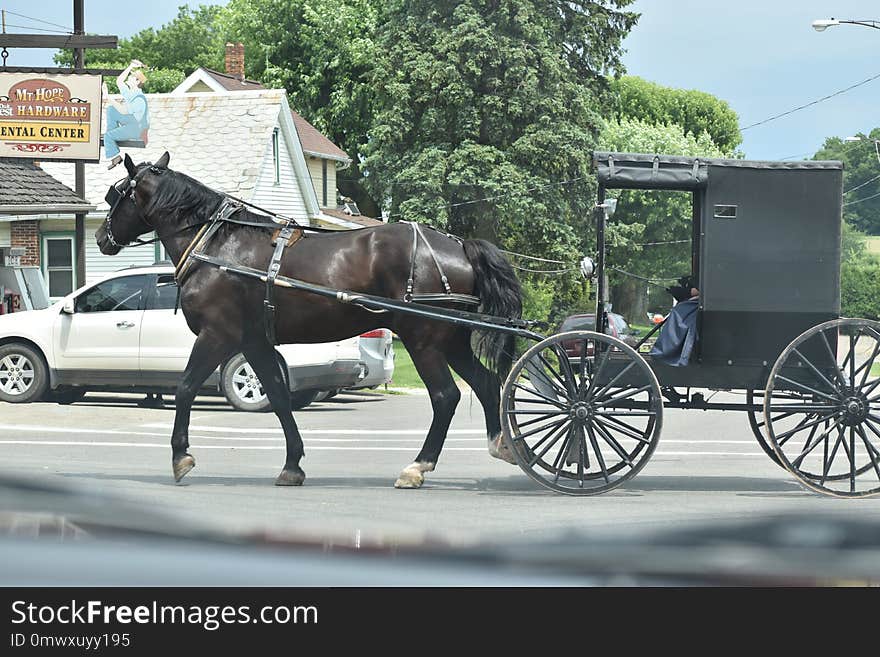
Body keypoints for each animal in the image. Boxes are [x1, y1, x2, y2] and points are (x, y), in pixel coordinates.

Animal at [96, 152, 524, 486]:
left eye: (116, 195)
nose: (101, 238)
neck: (216, 244)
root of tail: (458, 245)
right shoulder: (254, 340)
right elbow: (279, 396)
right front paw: (292, 465)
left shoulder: (218, 334)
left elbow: (185, 388)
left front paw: (180, 456)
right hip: (450, 339)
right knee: (486, 383)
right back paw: (501, 444)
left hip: (424, 340)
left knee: (446, 396)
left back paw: (419, 466)